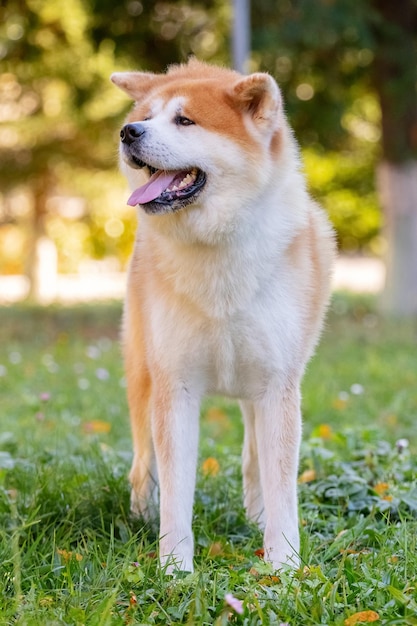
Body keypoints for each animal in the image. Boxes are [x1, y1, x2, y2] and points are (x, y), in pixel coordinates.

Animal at [110, 58, 334, 572]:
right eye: (146, 117)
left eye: (185, 120)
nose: (128, 132)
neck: (217, 256)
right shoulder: (175, 385)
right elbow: (176, 489)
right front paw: (174, 569)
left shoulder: (277, 384)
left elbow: (280, 484)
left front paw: (284, 567)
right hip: (141, 374)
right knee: (143, 459)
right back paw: (140, 514)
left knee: (253, 457)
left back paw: (255, 517)